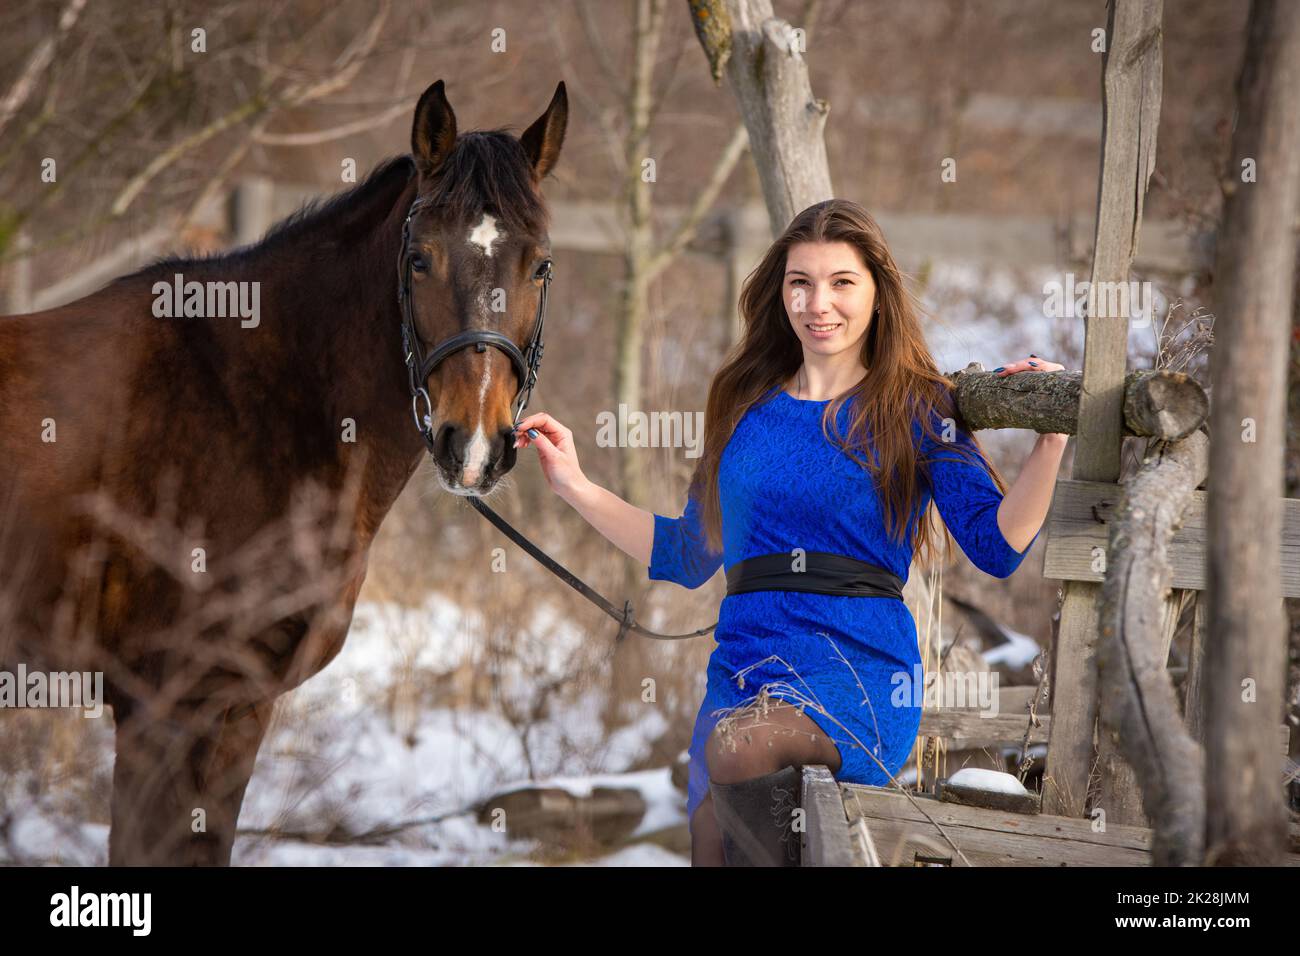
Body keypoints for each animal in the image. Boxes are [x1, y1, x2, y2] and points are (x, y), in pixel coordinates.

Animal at [1, 80, 569, 868]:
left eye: (539, 265)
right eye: (419, 259)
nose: (475, 444)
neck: (248, 400)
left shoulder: (238, 710)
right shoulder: (163, 710)